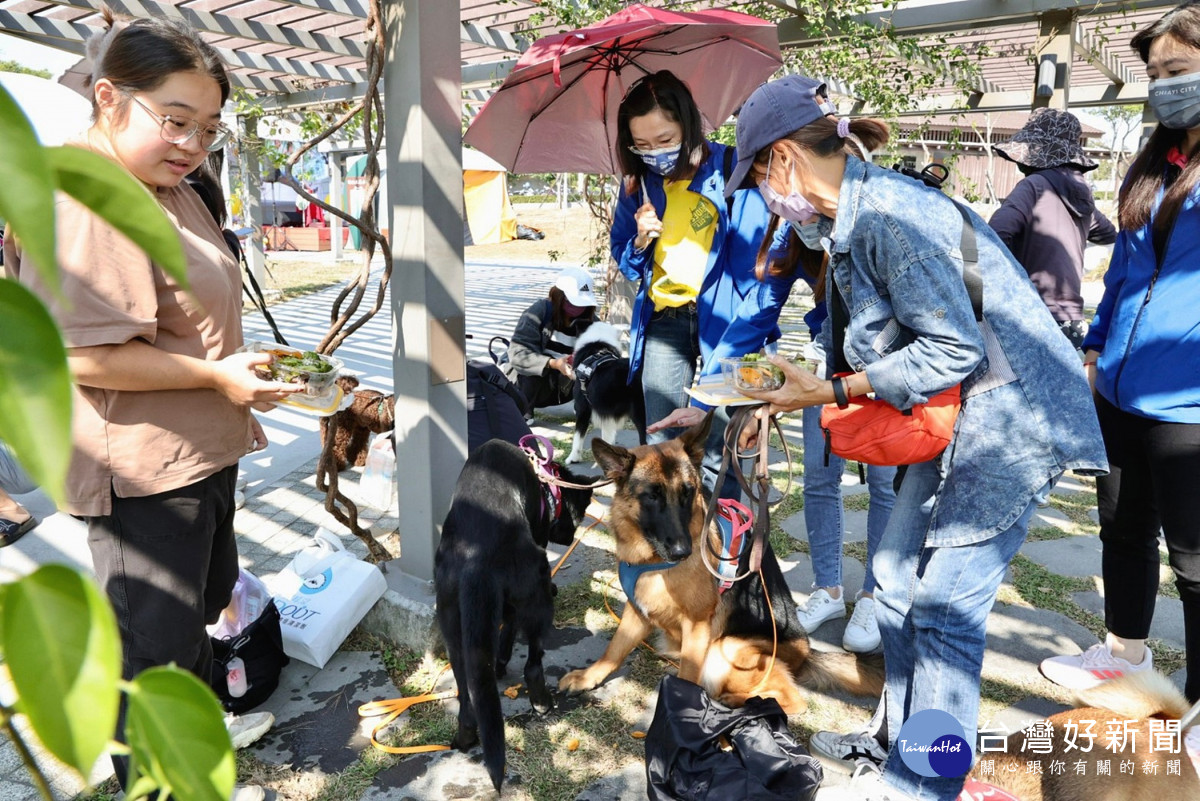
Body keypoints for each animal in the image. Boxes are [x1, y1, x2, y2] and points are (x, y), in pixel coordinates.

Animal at [436, 441, 595, 791]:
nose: (569, 537)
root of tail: (474, 555)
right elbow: (509, 631)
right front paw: (503, 661)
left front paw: (497, 664)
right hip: (538, 592)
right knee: (533, 664)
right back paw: (542, 701)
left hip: (452, 628)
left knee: (467, 699)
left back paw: (465, 737)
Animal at [556, 419, 888, 714]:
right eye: (652, 496)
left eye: (688, 492)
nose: (683, 551)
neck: (652, 561)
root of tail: (807, 652)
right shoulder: (637, 611)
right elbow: (614, 650)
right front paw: (588, 678)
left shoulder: (697, 625)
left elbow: (687, 676)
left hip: (725, 649)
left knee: (793, 700)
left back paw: (738, 703)